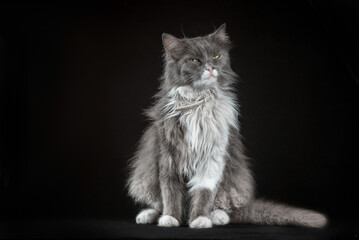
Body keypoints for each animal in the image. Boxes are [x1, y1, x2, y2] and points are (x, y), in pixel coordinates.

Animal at [127, 23, 330, 229]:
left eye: (216, 56)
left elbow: (204, 192)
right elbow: (170, 192)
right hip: (145, 177)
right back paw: (149, 215)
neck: (199, 101)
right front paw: (170, 218)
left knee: (225, 207)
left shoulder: (213, 158)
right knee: (158, 202)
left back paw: (216, 216)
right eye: (194, 60)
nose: (210, 68)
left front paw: (200, 219)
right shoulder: (169, 157)